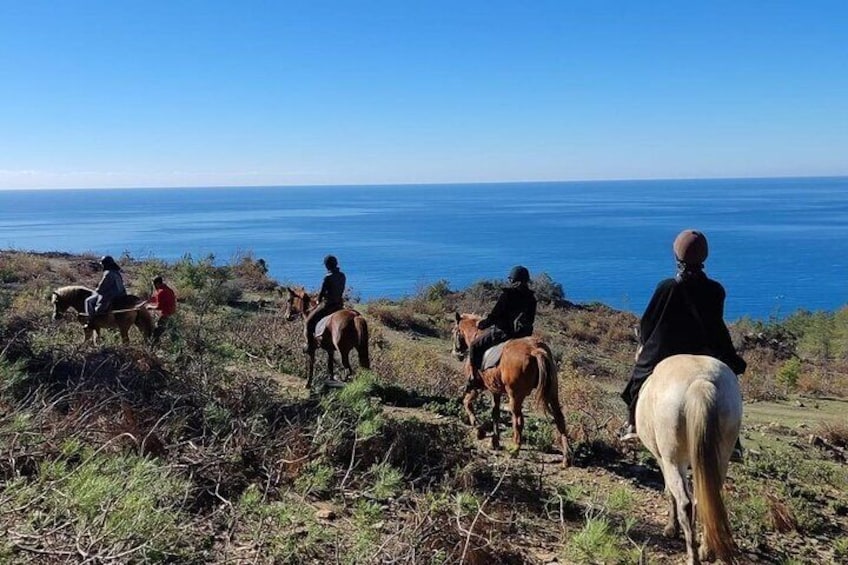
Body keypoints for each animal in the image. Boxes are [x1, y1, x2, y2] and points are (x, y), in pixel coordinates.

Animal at [450, 310, 568, 464]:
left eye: (454, 331)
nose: (455, 353)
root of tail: (536, 350)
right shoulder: (495, 391)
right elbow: (495, 413)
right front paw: (494, 441)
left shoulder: (477, 387)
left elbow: (467, 403)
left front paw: (480, 430)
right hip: (552, 393)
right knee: (560, 418)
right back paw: (566, 458)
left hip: (515, 396)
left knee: (518, 420)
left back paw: (515, 450)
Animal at [636, 354, 744, 560]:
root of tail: (701, 382)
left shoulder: (663, 459)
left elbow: (670, 492)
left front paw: (671, 529)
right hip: (720, 459)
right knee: (706, 499)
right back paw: (706, 550)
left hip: (673, 460)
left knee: (685, 503)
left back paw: (693, 556)